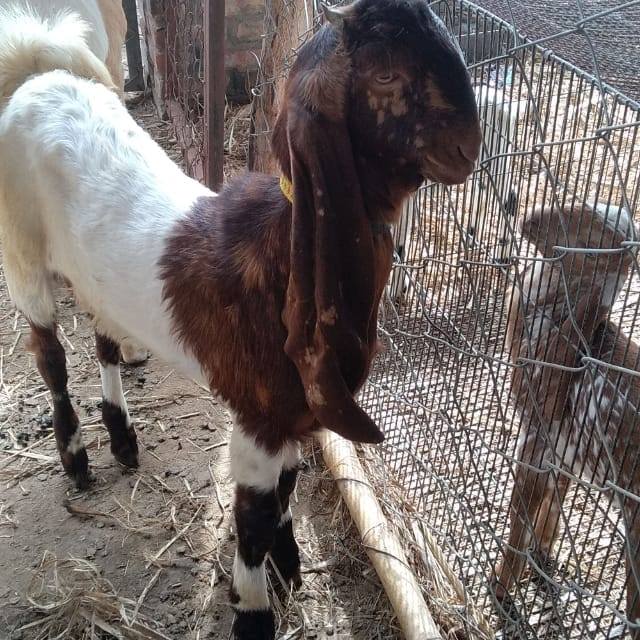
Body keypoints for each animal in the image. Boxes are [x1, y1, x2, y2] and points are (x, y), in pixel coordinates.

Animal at [0, 1, 481, 637]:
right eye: (385, 76)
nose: (469, 147)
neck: (279, 251)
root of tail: (39, 73)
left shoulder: (298, 414)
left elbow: (286, 489)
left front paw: (290, 567)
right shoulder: (259, 416)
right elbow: (254, 516)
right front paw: (253, 609)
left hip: (92, 275)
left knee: (104, 340)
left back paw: (123, 439)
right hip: (23, 253)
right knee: (50, 356)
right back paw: (76, 458)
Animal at [389, 85, 520, 302]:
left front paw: (397, 290)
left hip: (496, 160)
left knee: (508, 198)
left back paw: (503, 252)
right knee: (482, 195)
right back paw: (472, 235)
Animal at [493, 201, 640, 636]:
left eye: (592, 233)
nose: (529, 219)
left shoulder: (536, 437)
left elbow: (520, 519)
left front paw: (501, 592)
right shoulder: (566, 454)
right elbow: (551, 509)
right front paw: (544, 563)